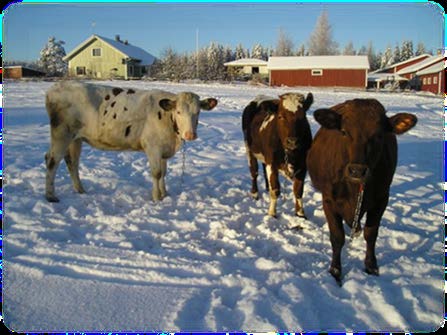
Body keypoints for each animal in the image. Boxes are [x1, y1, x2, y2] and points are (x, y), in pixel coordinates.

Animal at [45, 81, 219, 202]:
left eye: (198, 112)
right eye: (178, 111)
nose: (190, 135)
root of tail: (56, 87)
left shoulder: (163, 149)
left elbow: (164, 173)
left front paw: (165, 194)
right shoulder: (153, 147)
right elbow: (156, 173)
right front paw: (156, 197)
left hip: (76, 138)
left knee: (72, 162)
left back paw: (80, 190)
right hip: (61, 134)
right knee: (52, 160)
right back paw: (50, 196)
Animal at [306, 98, 418, 284]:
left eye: (379, 135)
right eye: (344, 131)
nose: (357, 171)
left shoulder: (382, 199)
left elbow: (371, 234)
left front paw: (371, 266)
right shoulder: (328, 200)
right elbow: (337, 237)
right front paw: (335, 271)